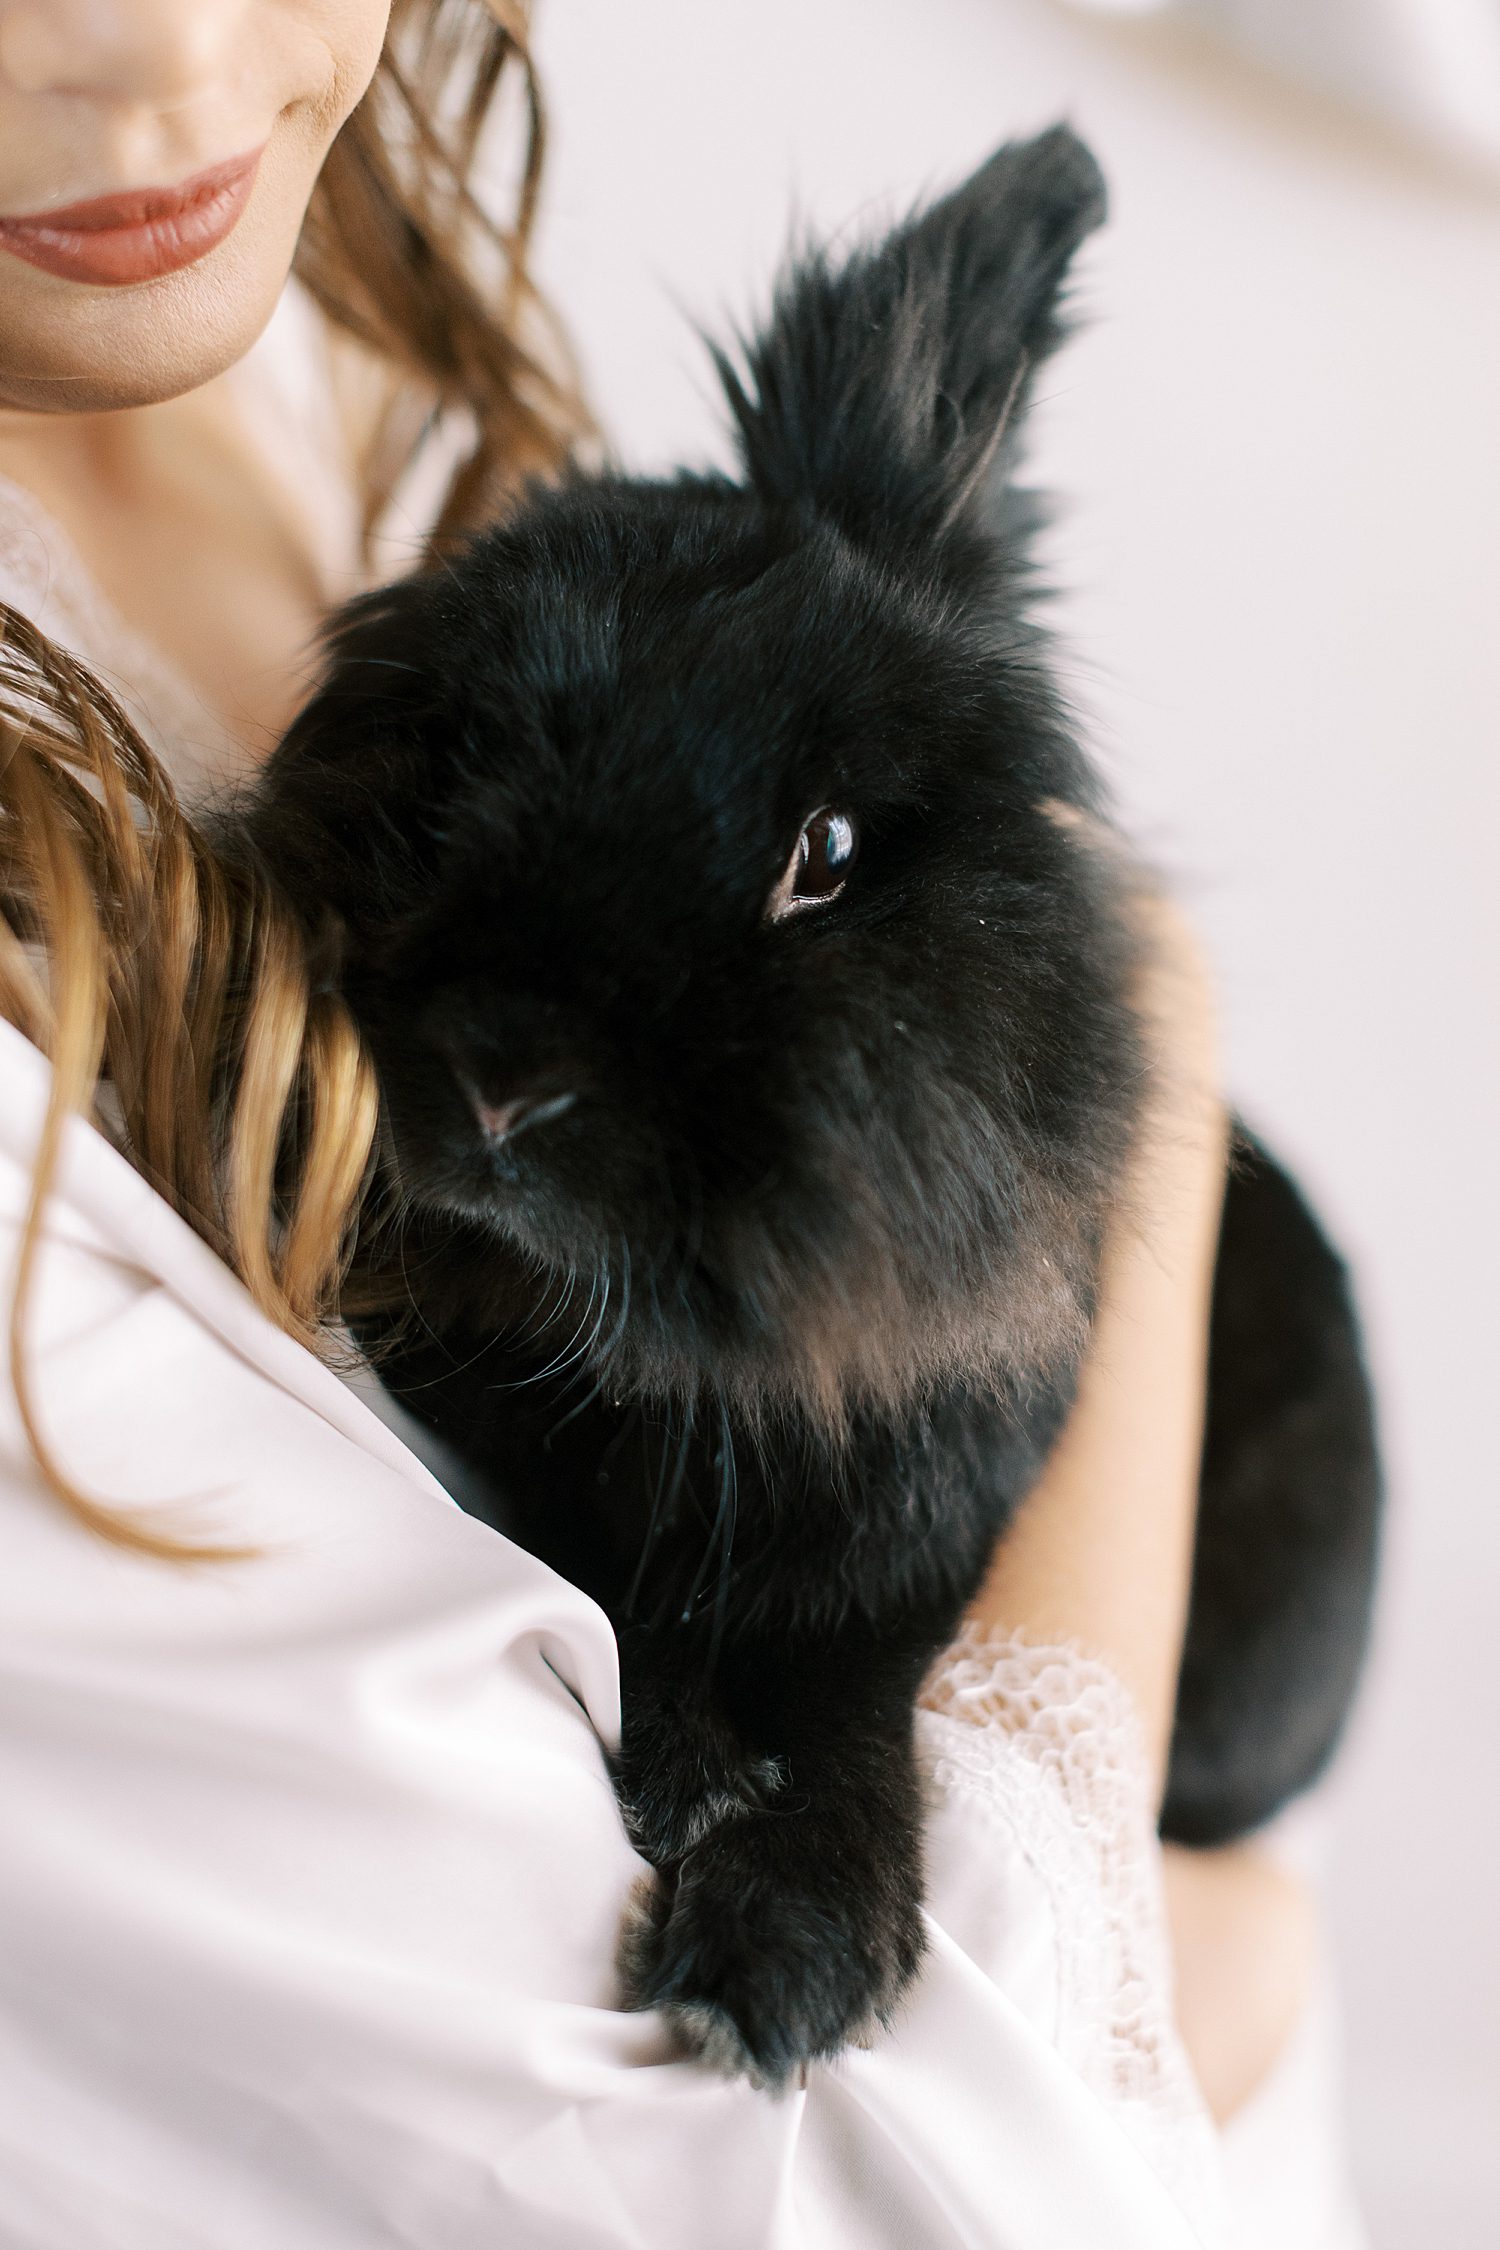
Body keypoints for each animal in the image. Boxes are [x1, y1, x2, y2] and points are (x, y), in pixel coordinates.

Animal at [244, 127, 1385, 2088]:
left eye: (829, 853)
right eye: (464, 758)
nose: (496, 1078)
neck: (647, 1364)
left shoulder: (917, 1540)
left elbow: (858, 1713)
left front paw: (778, 1954)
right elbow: (609, 1593)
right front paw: (699, 1778)